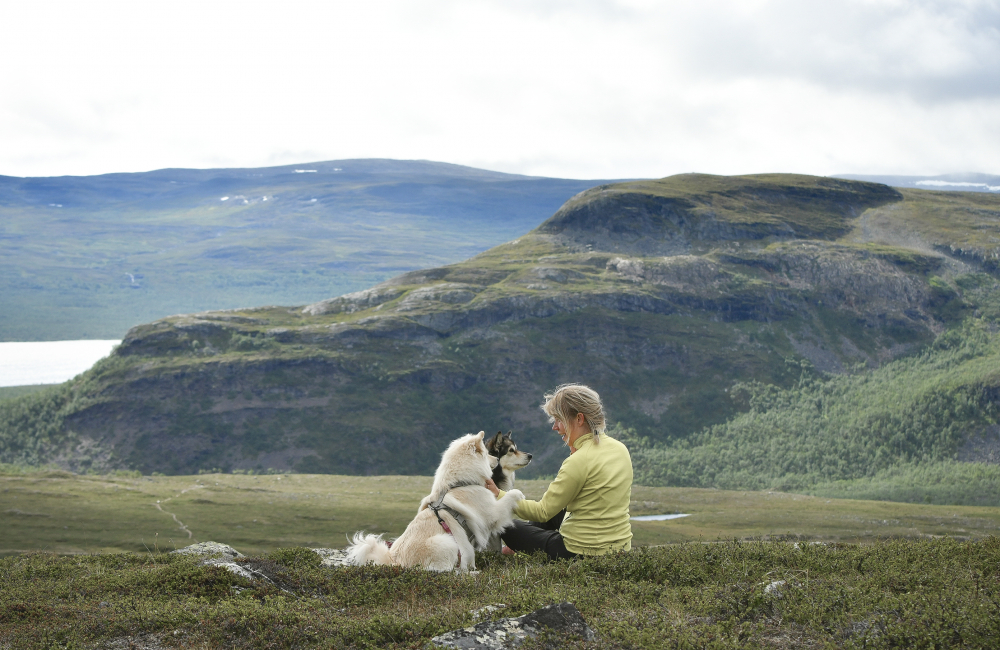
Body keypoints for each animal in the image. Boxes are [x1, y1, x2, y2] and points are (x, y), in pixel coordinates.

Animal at [346, 430, 524, 572]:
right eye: (487, 454)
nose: (497, 459)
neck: (459, 482)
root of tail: (395, 564)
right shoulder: (491, 514)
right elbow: (510, 496)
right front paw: (519, 495)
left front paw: (472, 567)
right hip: (447, 542)